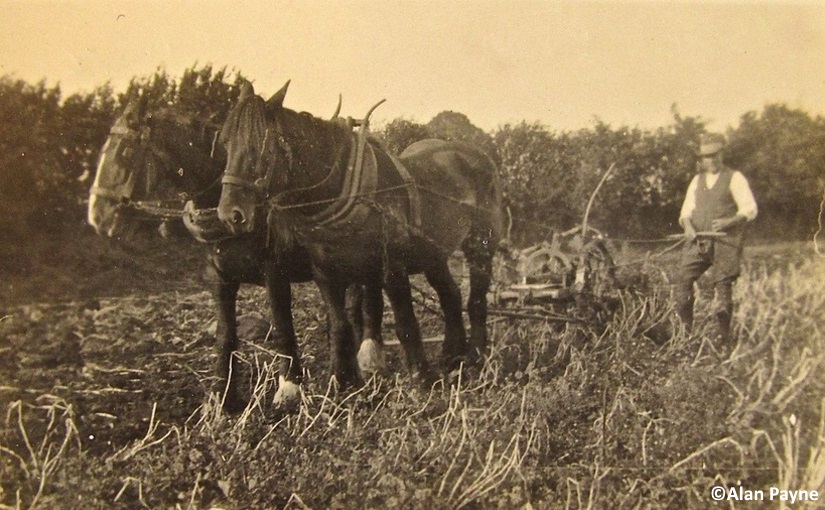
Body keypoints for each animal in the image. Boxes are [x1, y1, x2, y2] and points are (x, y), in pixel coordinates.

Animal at [87, 91, 384, 410]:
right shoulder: (220, 277)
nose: (97, 215)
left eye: (126, 152)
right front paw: (222, 396)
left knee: (367, 297)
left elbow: (282, 326)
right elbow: (225, 334)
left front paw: (289, 387)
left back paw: (368, 353)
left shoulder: (275, 273)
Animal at [216, 79, 506, 392]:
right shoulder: (325, 271)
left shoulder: (392, 265)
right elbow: (339, 324)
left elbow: (405, 320)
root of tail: (474, 154)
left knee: (476, 299)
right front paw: (341, 380)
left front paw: (422, 377)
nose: (230, 214)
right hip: (433, 253)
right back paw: (453, 356)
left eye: (262, 147)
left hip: (480, 243)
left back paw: (476, 355)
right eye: (225, 142)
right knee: (450, 295)